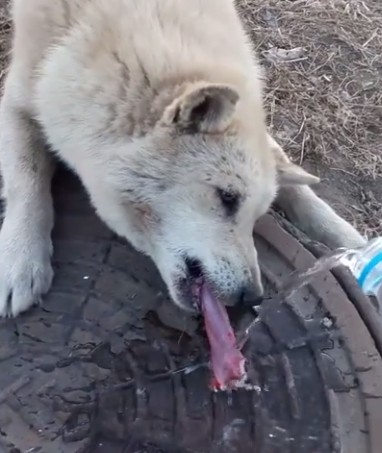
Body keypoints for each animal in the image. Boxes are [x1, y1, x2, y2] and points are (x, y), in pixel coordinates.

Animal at [0, 0, 364, 316]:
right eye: (227, 197)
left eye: (257, 216)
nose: (253, 298)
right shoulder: (18, 101)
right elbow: (26, 181)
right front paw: (21, 260)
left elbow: (301, 192)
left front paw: (351, 243)